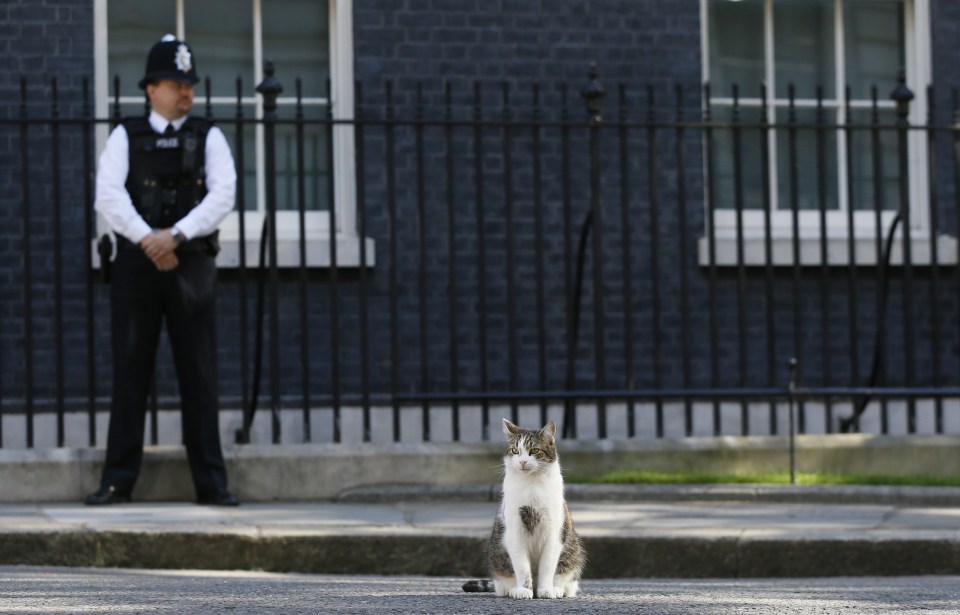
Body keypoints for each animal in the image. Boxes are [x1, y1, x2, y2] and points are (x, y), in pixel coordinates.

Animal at [466, 422, 584, 600]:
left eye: (534, 450)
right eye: (515, 450)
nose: (522, 461)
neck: (532, 485)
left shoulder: (553, 533)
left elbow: (547, 567)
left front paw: (546, 589)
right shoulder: (515, 532)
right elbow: (522, 567)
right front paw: (523, 590)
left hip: (572, 553)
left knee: (567, 583)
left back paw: (555, 589)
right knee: (503, 584)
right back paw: (514, 589)